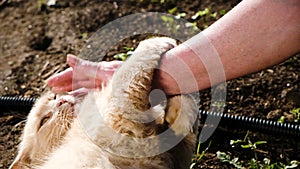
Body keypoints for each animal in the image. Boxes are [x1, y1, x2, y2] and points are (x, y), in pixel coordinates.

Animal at [10, 37, 199, 169]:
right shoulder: (116, 107)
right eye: (45, 120)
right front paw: (158, 40)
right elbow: (131, 64)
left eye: (54, 98)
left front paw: (179, 113)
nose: (62, 101)